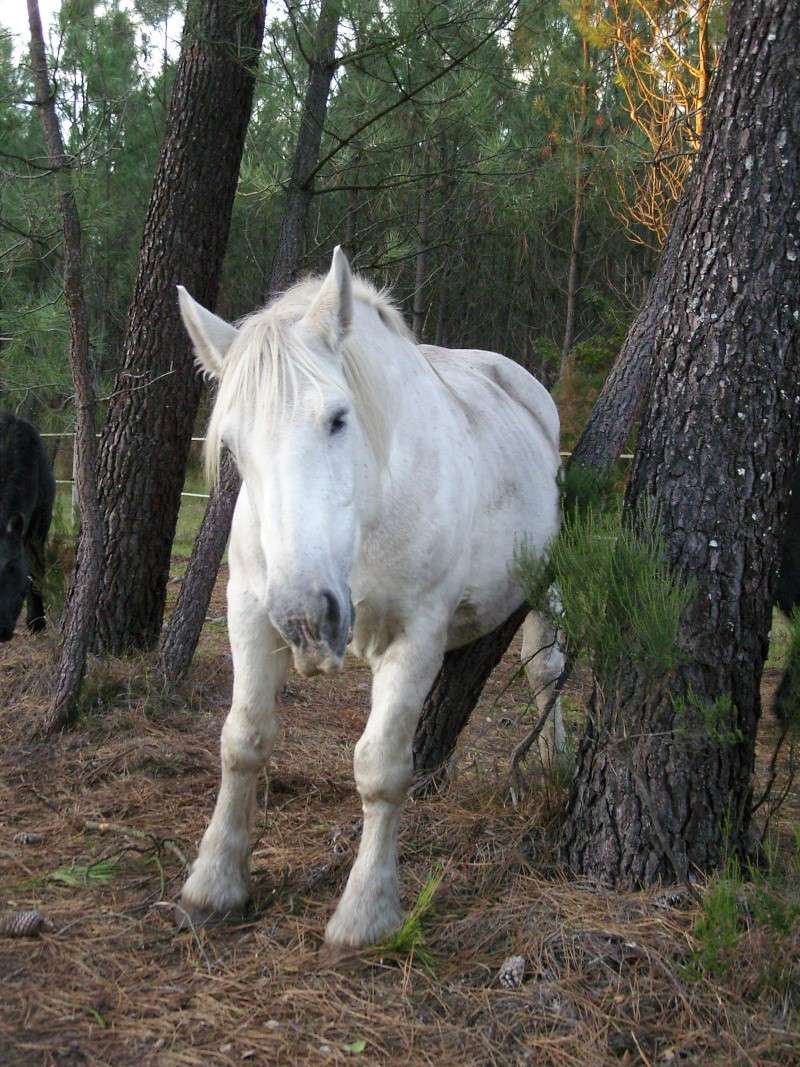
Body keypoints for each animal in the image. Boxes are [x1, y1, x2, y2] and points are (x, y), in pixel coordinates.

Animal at [177, 245, 563, 947]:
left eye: (337, 418)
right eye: (234, 446)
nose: (307, 620)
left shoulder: (415, 635)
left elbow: (381, 770)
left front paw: (367, 911)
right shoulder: (250, 612)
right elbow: (242, 739)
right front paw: (215, 881)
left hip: (546, 580)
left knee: (546, 670)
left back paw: (560, 760)